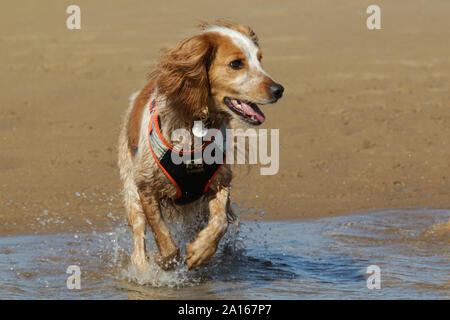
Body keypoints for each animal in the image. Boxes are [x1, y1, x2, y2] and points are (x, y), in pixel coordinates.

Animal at [118, 21, 284, 272]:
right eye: (236, 64)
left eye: (260, 59)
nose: (279, 90)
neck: (196, 127)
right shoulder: (146, 186)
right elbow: (161, 233)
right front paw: (165, 261)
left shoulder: (219, 182)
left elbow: (220, 222)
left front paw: (200, 251)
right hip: (131, 189)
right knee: (139, 235)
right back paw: (143, 266)